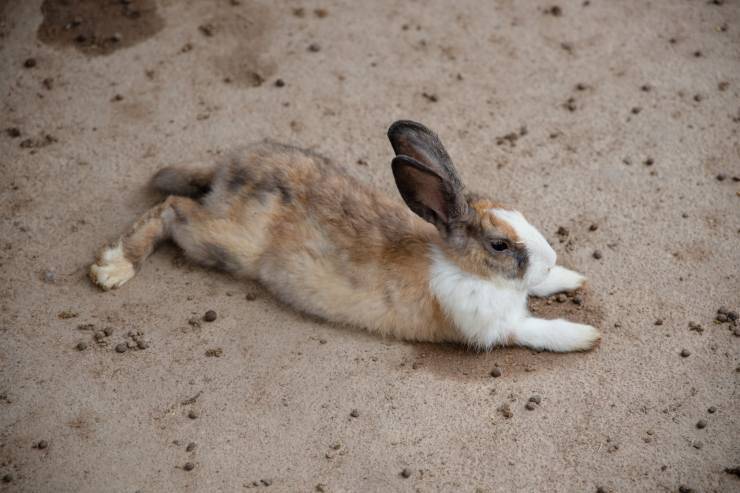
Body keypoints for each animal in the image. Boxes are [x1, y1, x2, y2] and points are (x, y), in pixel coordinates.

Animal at [89, 119, 600, 352]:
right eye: (498, 245)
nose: (549, 257)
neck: (463, 266)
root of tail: (229, 170)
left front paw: (570, 279)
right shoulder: (493, 327)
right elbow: (536, 329)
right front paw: (586, 335)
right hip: (220, 241)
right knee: (172, 210)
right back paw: (113, 268)